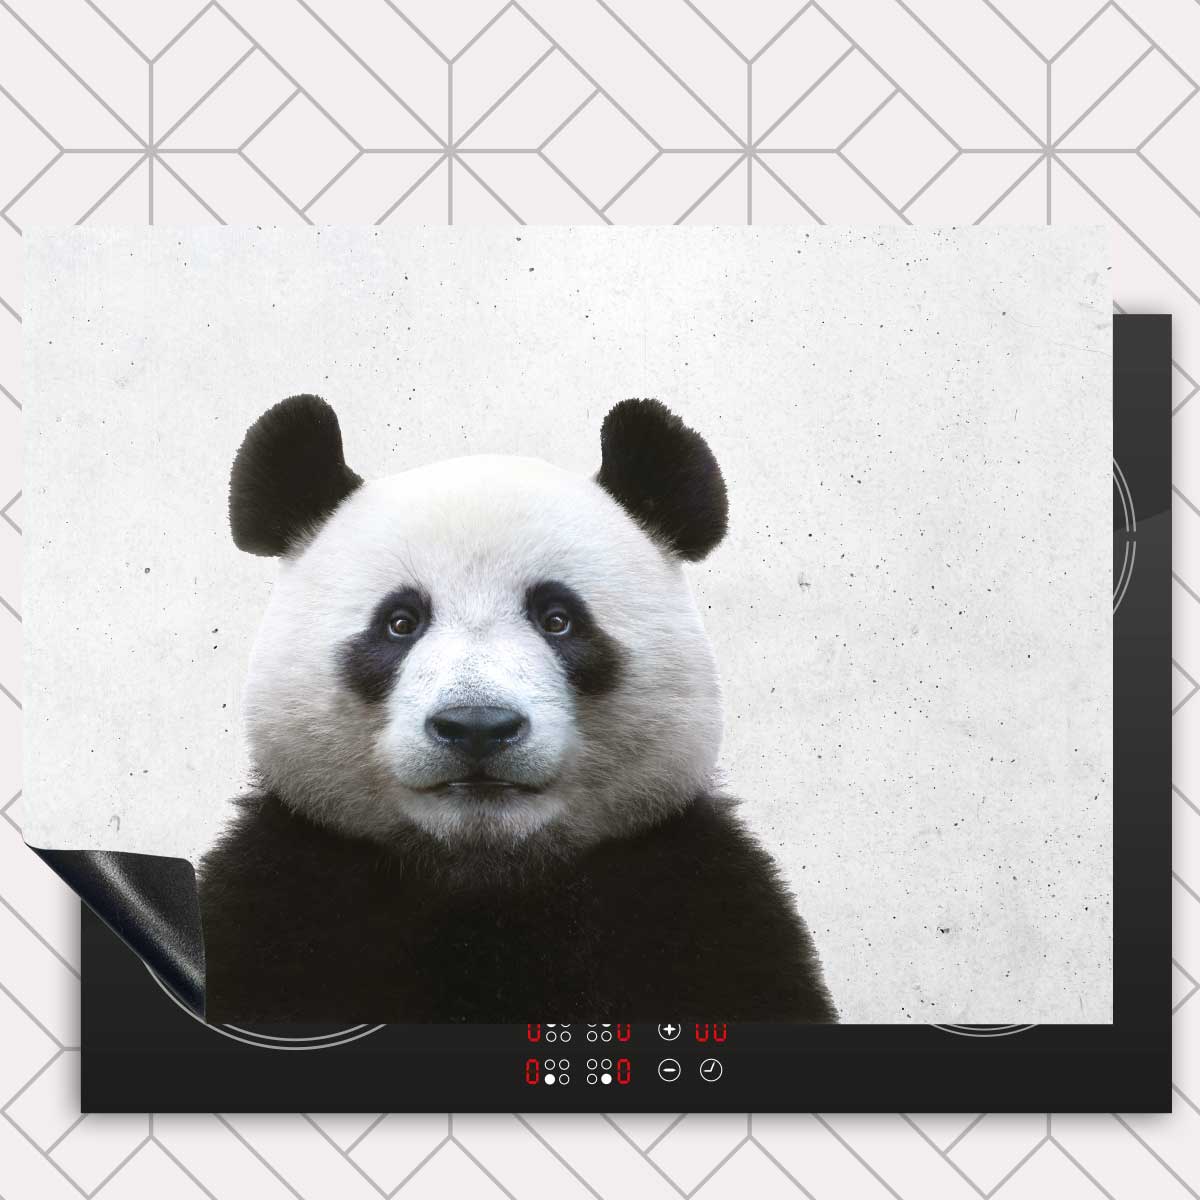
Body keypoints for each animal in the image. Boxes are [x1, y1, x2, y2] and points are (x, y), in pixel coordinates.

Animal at [198, 394, 837, 1024]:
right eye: (400, 622)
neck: (488, 878)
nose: (477, 727)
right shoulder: (283, 897)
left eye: (558, 619)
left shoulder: (696, 904)